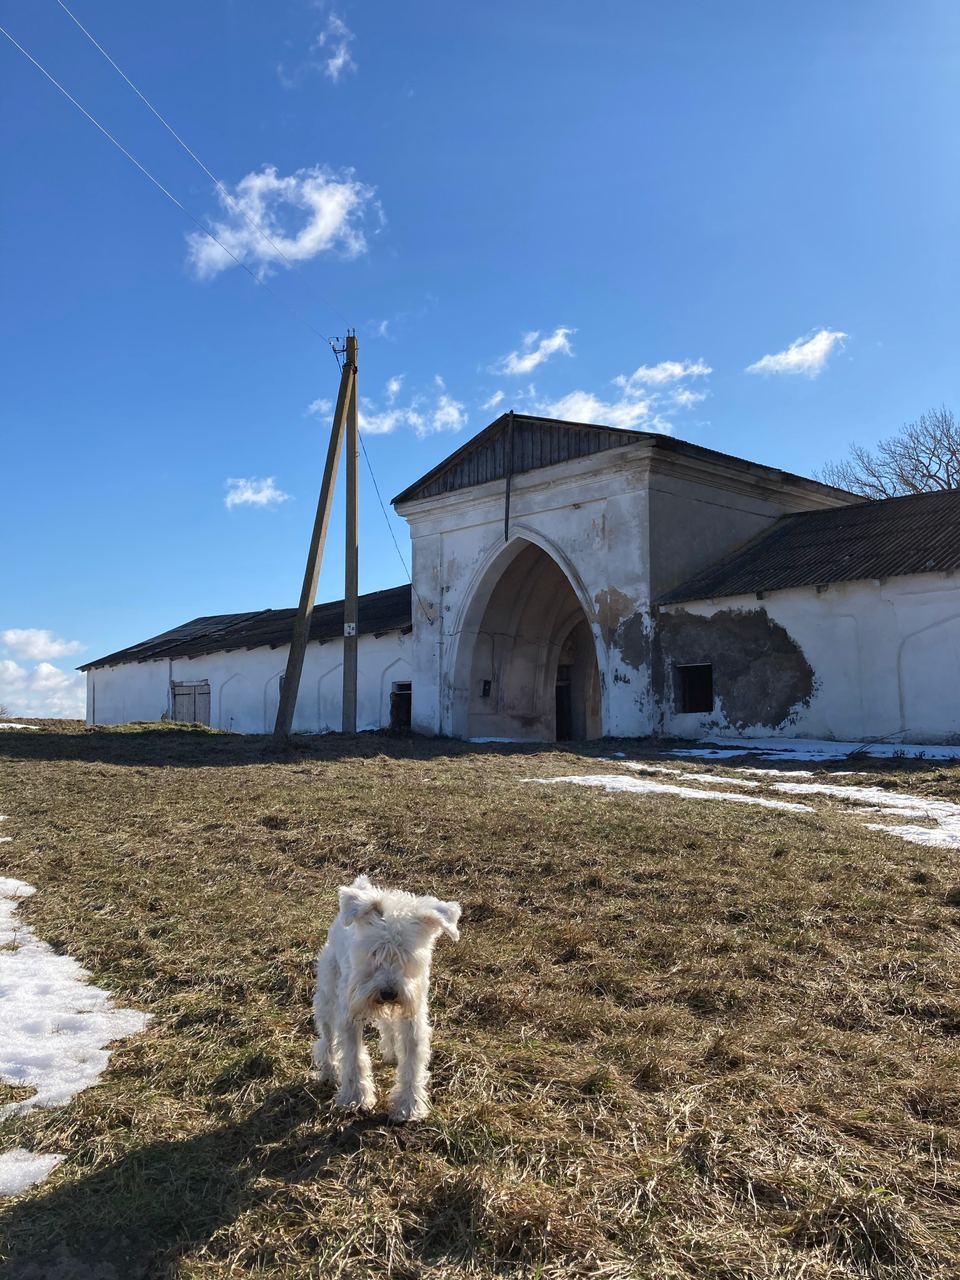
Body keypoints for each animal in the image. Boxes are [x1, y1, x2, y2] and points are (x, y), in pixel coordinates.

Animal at [313, 870, 463, 1121]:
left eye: (408, 956)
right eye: (374, 951)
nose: (388, 993)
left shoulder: (413, 1019)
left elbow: (412, 1064)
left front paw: (410, 1105)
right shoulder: (349, 1017)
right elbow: (354, 1058)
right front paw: (356, 1098)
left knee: (388, 1027)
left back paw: (392, 1054)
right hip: (327, 995)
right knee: (327, 1038)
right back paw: (329, 1071)